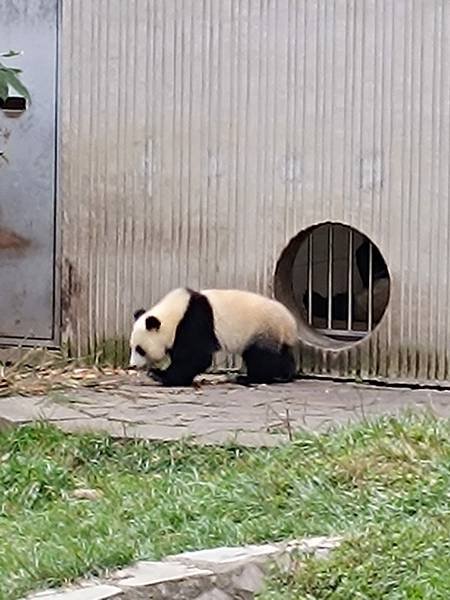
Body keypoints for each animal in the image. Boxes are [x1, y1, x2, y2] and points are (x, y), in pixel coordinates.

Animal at [129, 288, 298, 390]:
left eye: (140, 349)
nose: (132, 366)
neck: (175, 314)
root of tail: (290, 324)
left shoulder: (194, 322)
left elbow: (196, 357)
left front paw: (159, 375)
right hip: (275, 335)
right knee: (281, 355)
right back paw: (283, 375)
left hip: (261, 330)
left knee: (261, 357)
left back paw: (249, 378)